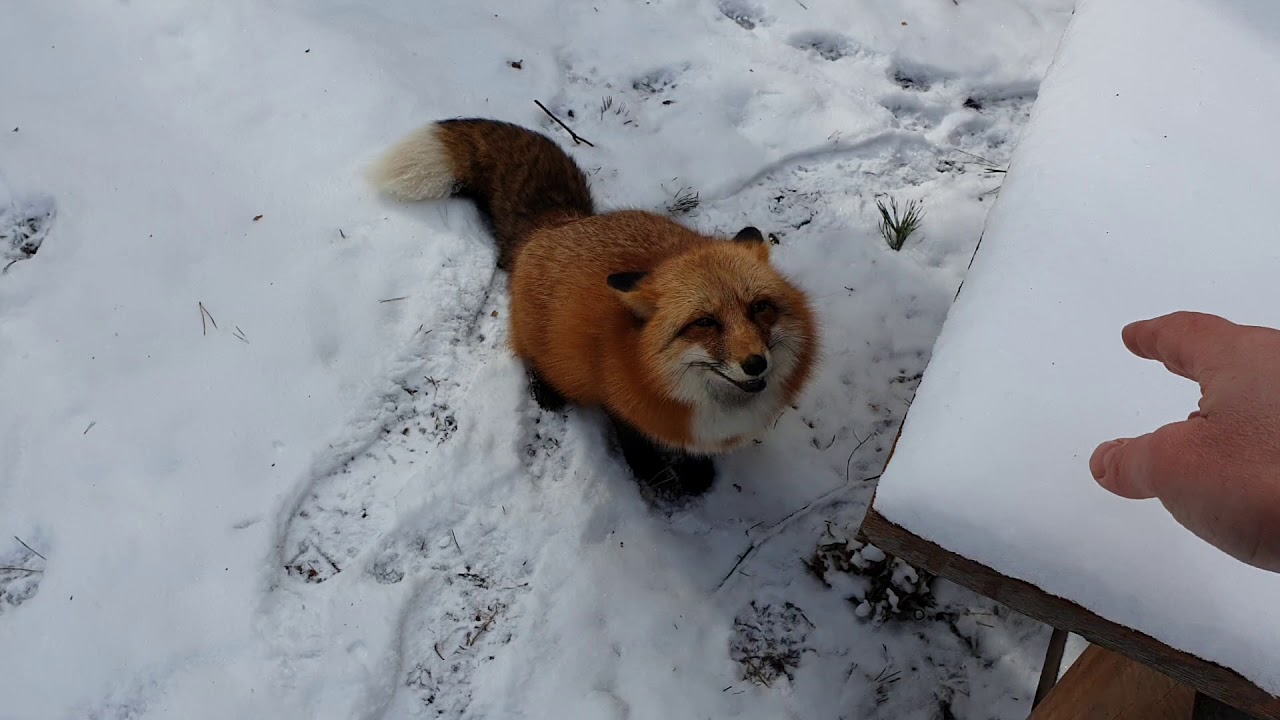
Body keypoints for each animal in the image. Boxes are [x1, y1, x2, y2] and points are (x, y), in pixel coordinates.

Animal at [368, 118, 818, 495]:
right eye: (704, 322)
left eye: (759, 307)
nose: (756, 364)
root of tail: (559, 222)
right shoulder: (616, 397)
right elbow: (635, 441)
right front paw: (654, 475)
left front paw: (695, 472)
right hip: (550, 348)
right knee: (531, 355)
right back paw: (545, 389)